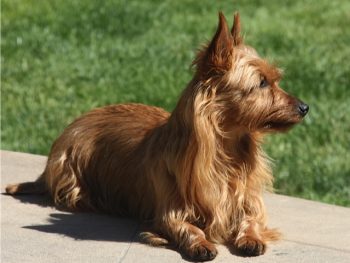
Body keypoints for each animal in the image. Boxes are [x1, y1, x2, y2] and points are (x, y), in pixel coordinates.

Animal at [4, 11, 306, 262]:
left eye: (274, 79)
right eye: (261, 83)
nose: (305, 107)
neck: (225, 152)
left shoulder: (249, 203)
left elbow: (252, 220)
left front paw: (250, 237)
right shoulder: (168, 213)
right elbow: (187, 227)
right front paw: (201, 243)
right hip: (71, 174)